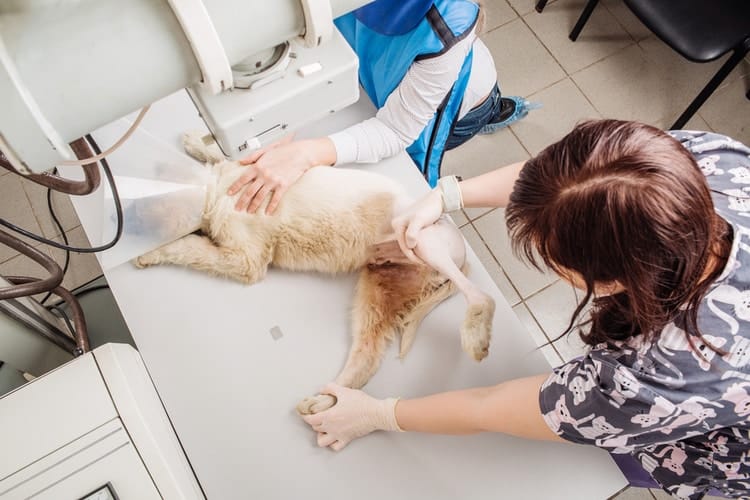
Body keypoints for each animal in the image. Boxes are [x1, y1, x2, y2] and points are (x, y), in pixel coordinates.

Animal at [136, 132, 500, 414]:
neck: (216, 191)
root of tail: (461, 251)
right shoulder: (245, 174)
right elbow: (222, 157)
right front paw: (194, 141)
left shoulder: (246, 260)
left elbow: (189, 248)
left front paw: (151, 253)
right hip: (378, 291)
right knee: (366, 358)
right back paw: (328, 404)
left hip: (423, 239)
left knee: (481, 296)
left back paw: (476, 336)